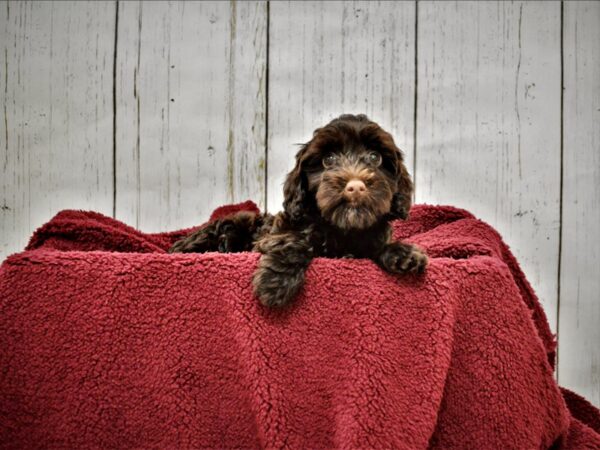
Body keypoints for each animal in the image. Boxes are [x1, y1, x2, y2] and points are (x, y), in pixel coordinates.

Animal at [171, 114, 428, 308]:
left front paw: (404, 254)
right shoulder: (275, 234)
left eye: (375, 157)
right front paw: (275, 283)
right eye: (328, 159)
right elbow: (294, 243)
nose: (355, 186)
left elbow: (374, 248)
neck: (342, 228)